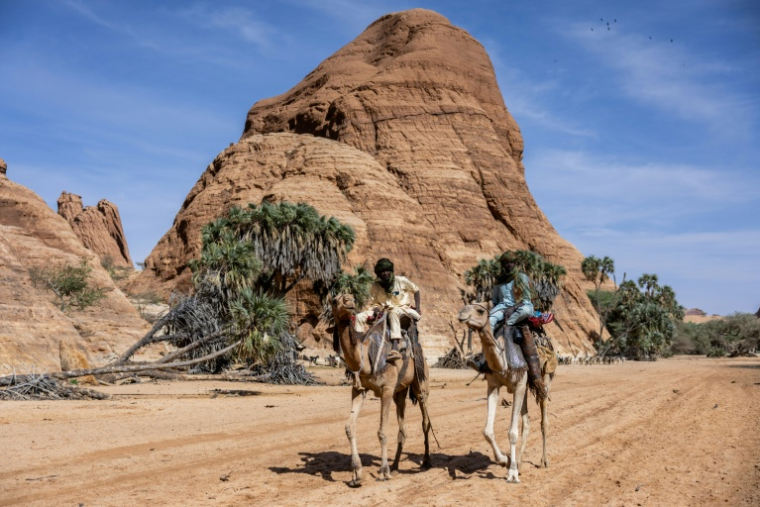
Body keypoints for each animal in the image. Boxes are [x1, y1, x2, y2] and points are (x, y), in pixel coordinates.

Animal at [332, 293, 433, 486]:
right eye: (334, 300)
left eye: (350, 297)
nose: (349, 301)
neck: (366, 358)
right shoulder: (359, 390)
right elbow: (349, 427)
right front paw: (357, 474)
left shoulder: (386, 389)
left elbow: (382, 431)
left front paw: (383, 472)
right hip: (399, 392)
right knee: (403, 428)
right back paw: (395, 465)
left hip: (420, 383)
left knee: (425, 421)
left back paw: (426, 462)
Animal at [458, 302, 553, 483]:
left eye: (480, 310)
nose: (461, 314)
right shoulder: (494, 386)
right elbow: (487, 431)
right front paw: (505, 461)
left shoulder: (519, 384)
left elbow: (512, 432)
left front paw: (512, 474)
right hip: (524, 388)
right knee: (527, 423)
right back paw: (520, 462)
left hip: (544, 378)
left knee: (544, 420)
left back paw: (544, 461)